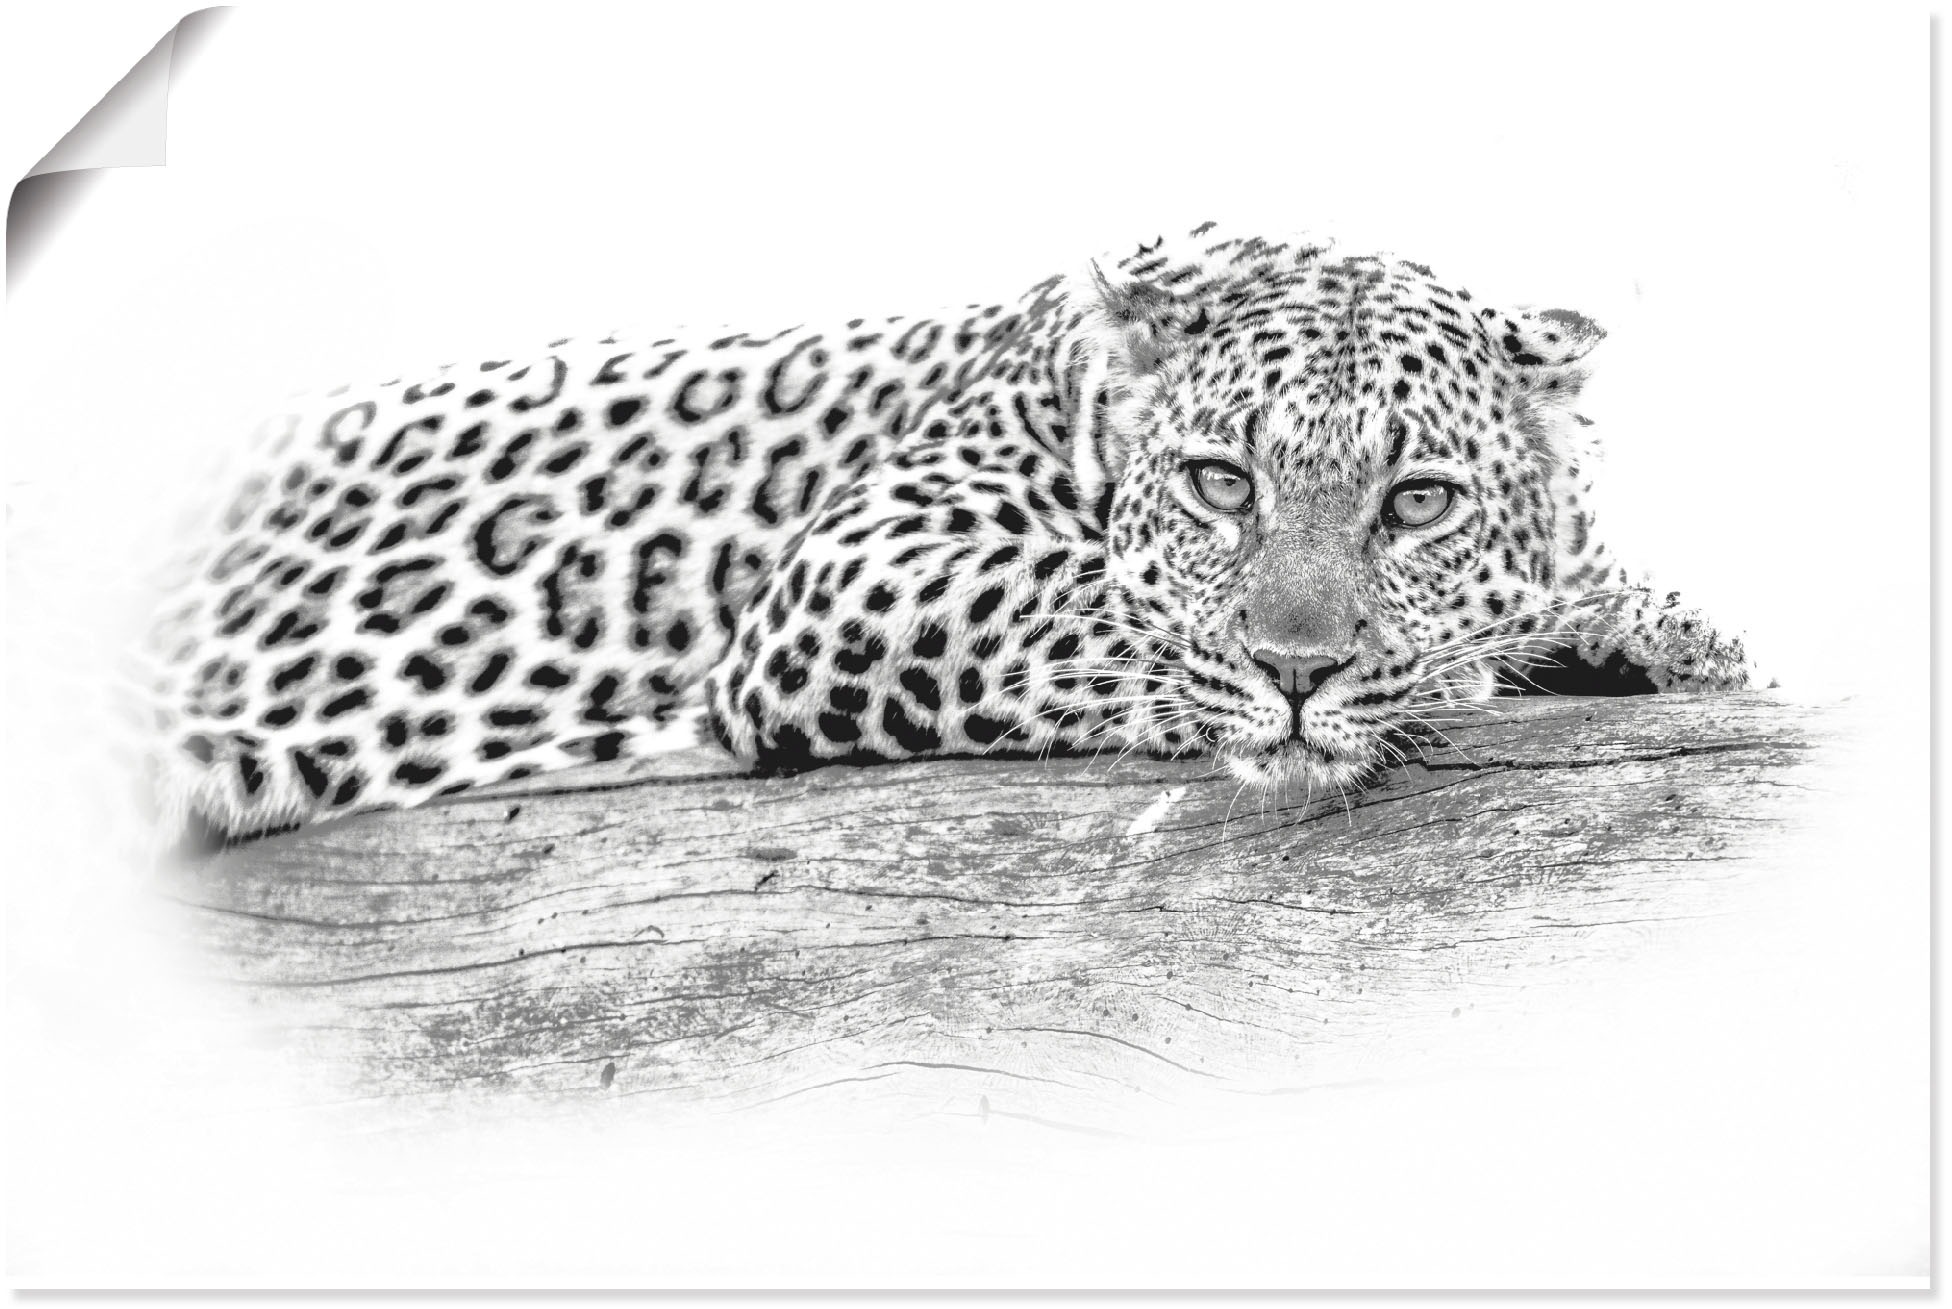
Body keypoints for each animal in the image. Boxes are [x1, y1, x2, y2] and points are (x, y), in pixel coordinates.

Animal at [134, 223, 1751, 842]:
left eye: (1416, 502)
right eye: (1220, 484)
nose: (1301, 671)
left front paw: (1656, 629)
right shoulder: (856, 572)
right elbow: (1107, 611)